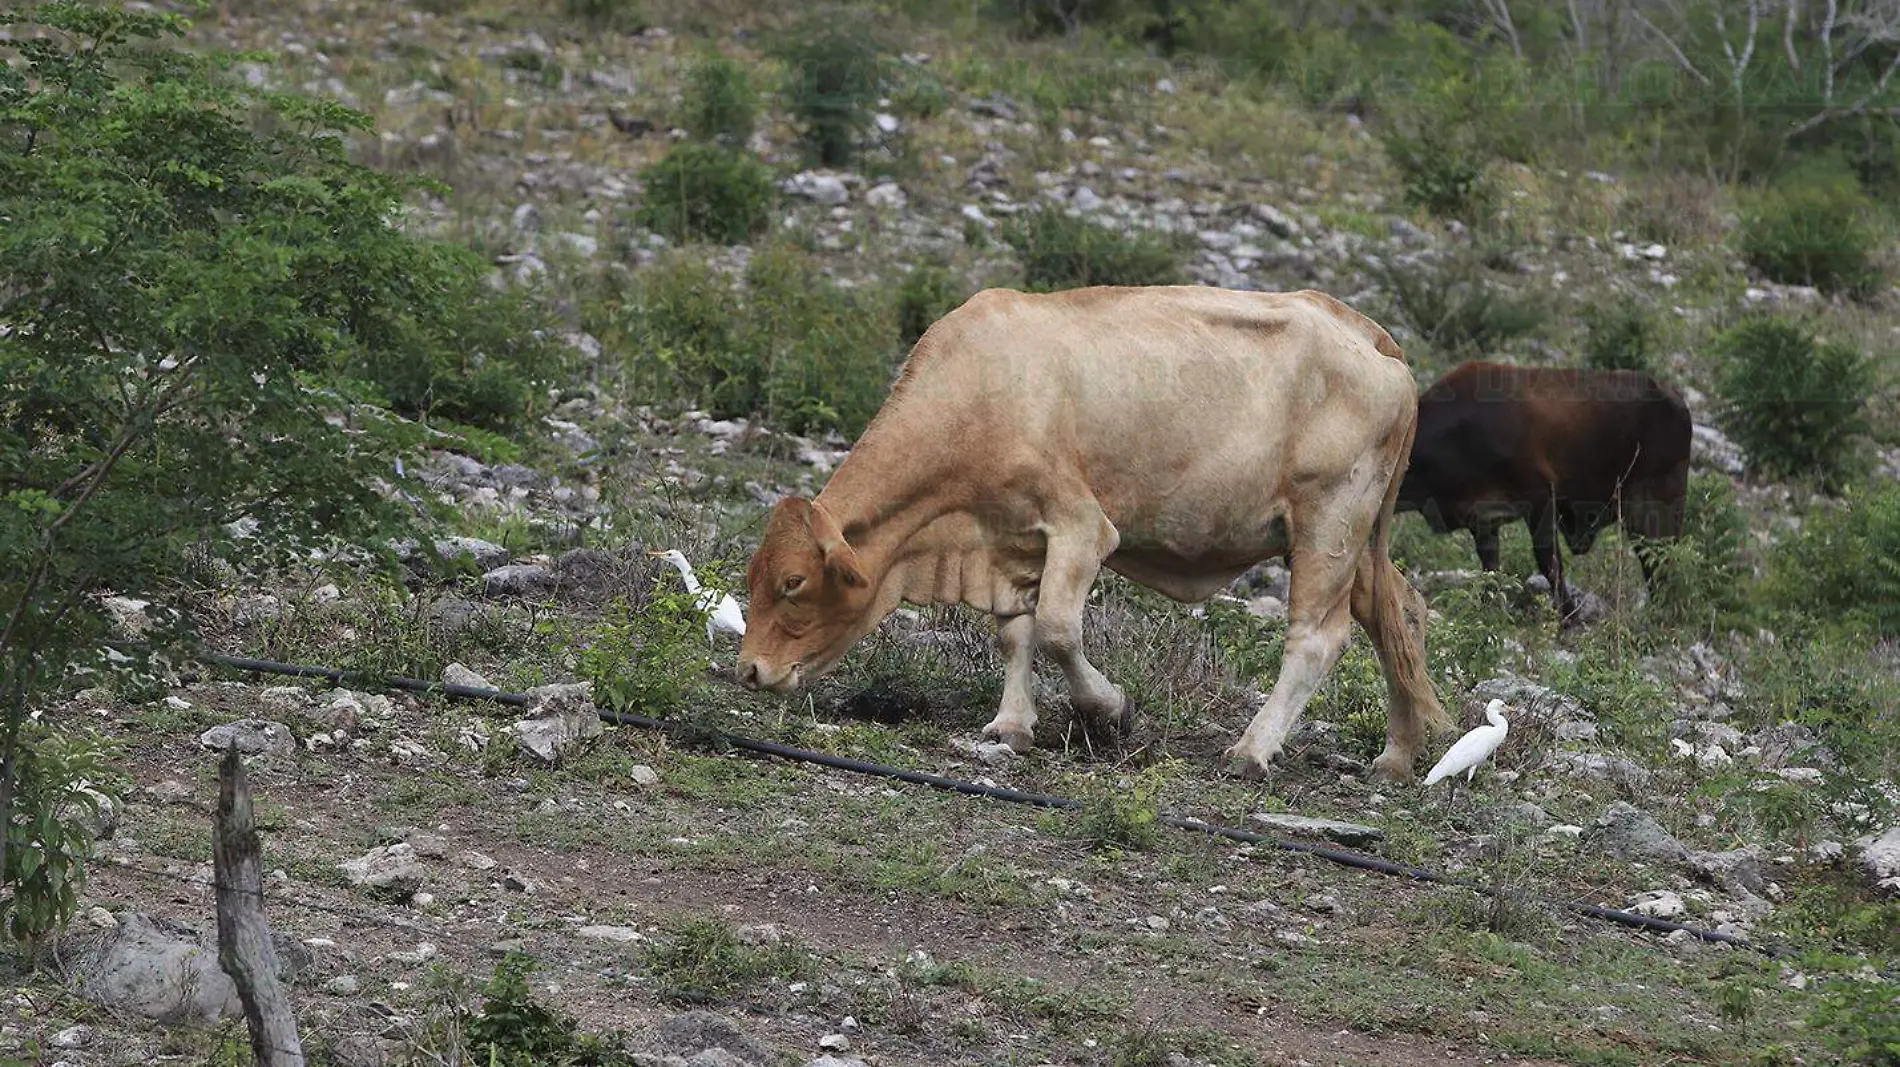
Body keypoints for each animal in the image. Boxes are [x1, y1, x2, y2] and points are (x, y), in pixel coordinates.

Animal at [733, 286, 1444, 778]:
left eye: (794, 582)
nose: (749, 670)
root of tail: (1366, 334)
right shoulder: (1012, 541)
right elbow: (1016, 632)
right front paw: (1010, 725)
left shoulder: (1081, 526)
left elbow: (1055, 629)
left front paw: (1110, 709)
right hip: (1352, 541)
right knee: (1398, 612)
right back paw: (1397, 757)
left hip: (1329, 525)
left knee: (1318, 639)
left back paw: (1251, 749)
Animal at [1398, 360, 1694, 618]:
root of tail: (1674, 397)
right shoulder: (1481, 519)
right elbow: (1491, 571)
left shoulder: (1539, 497)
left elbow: (1548, 562)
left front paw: (1569, 615)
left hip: (1656, 508)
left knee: (1661, 562)